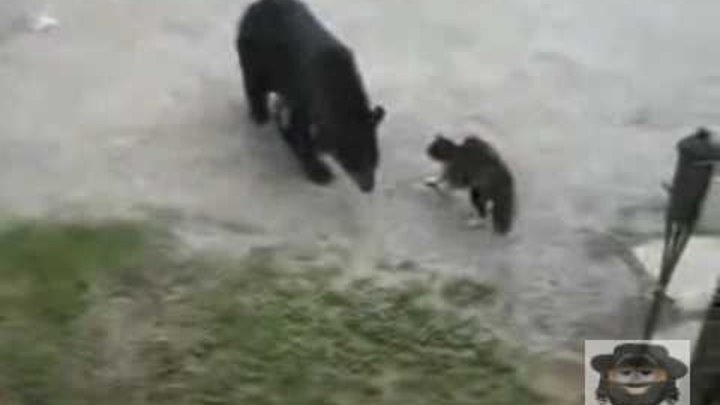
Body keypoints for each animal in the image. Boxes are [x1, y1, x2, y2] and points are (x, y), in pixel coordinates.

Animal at [236, 0, 386, 191]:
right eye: (352, 162)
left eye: (375, 159)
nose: (368, 187)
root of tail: (254, 6)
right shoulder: (304, 92)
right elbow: (300, 127)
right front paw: (319, 171)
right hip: (255, 53)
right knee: (254, 82)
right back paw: (260, 114)